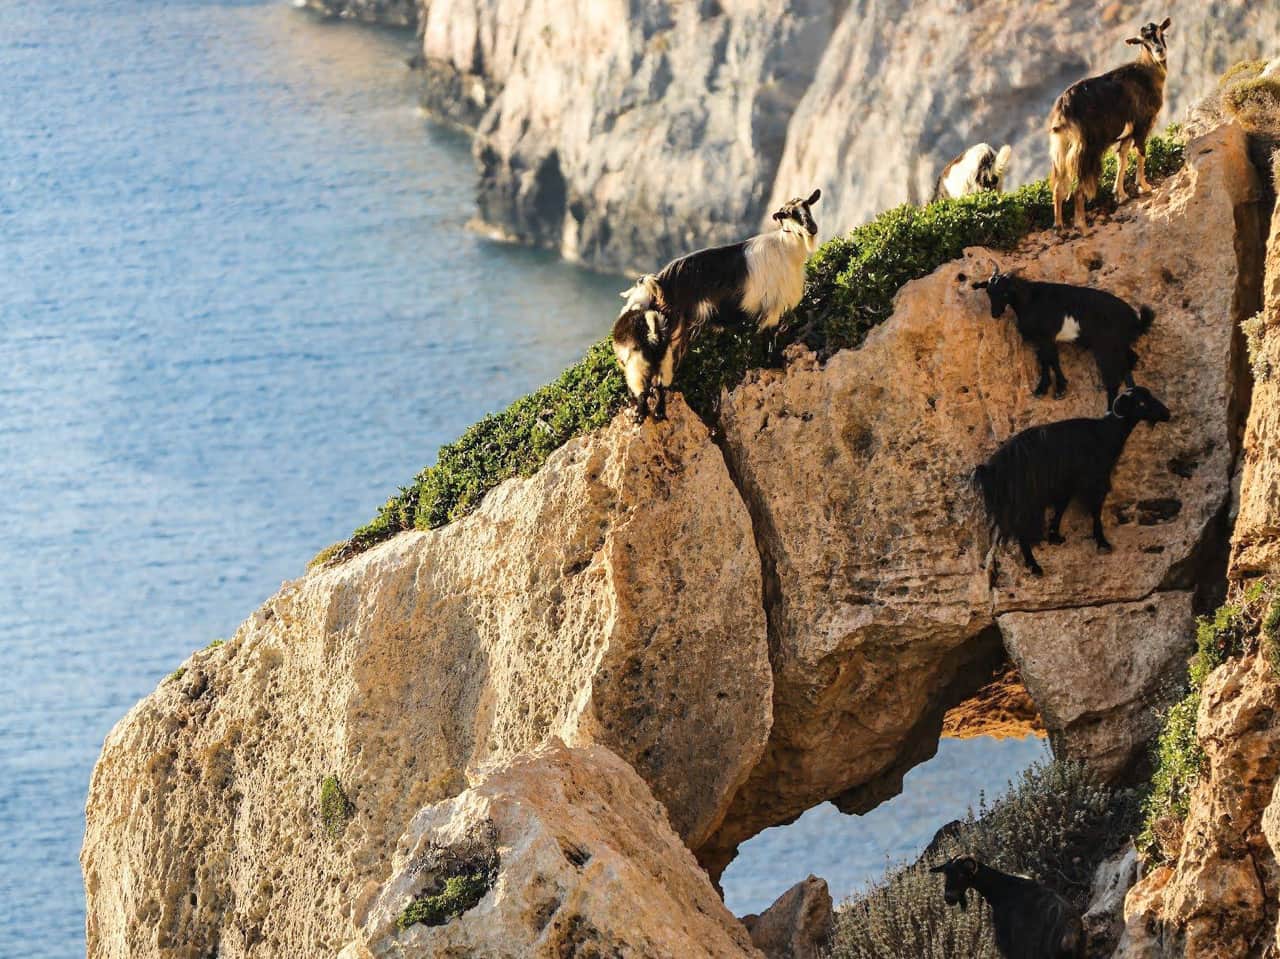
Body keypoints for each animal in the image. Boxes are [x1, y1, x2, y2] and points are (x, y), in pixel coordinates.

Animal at [650, 189, 819, 358]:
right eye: (789, 214)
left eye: (807, 205)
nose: (812, 228)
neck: (784, 249)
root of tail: (660, 280)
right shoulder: (771, 309)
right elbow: (768, 339)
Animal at [967, 262, 1162, 404]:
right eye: (988, 291)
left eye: (1006, 293)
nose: (995, 313)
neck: (1031, 300)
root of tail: (1136, 320)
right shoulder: (1043, 340)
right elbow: (1048, 359)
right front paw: (1050, 388)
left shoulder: (1046, 337)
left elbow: (1050, 360)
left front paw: (1054, 389)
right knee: (1132, 358)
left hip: (1108, 346)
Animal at [967, 384, 1172, 576]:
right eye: (1141, 403)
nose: (1167, 414)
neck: (1105, 433)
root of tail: (991, 468)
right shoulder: (1094, 480)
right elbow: (1095, 511)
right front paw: (1102, 543)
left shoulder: (1066, 485)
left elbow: (1060, 509)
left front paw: (1055, 536)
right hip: (1024, 500)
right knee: (1021, 531)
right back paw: (1034, 567)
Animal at [1049, 19, 1172, 230]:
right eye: (1143, 41)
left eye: (1160, 33)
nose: (1159, 51)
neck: (1146, 73)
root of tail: (1063, 110)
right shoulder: (1142, 124)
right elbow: (1141, 153)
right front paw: (1144, 186)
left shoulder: (1127, 133)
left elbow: (1122, 158)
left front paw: (1120, 194)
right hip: (1087, 149)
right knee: (1079, 187)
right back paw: (1081, 224)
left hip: (1062, 148)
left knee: (1059, 185)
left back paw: (1059, 226)